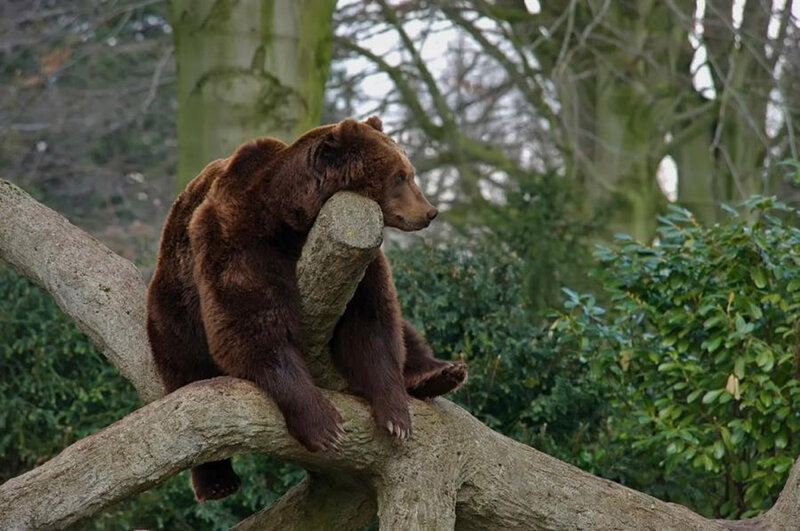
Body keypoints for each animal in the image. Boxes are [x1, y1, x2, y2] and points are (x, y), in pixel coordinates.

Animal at [146, 116, 468, 502]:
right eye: (401, 176)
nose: (430, 212)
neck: (295, 218)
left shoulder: (361, 263)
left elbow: (373, 325)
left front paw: (396, 415)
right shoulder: (240, 239)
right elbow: (251, 328)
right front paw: (325, 425)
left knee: (408, 336)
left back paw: (441, 373)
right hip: (175, 310)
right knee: (189, 375)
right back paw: (217, 481)